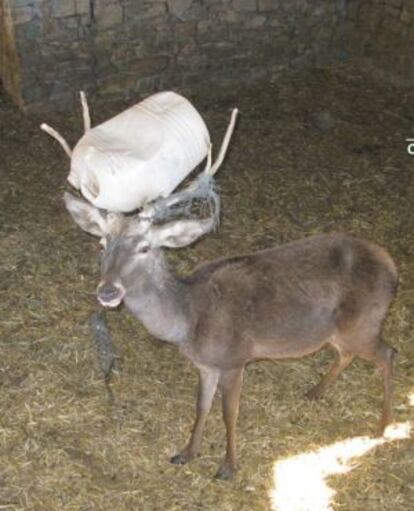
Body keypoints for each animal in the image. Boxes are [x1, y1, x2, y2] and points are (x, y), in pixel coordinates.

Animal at [61, 118, 398, 482]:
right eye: (101, 244)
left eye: (145, 248)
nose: (108, 291)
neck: (188, 320)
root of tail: (392, 267)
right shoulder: (205, 364)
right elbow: (201, 406)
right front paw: (186, 453)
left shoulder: (234, 359)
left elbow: (228, 413)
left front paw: (228, 467)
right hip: (341, 330)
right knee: (348, 353)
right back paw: (314, 392)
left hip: (365, 322)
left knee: (388, 354)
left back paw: (381, 427)